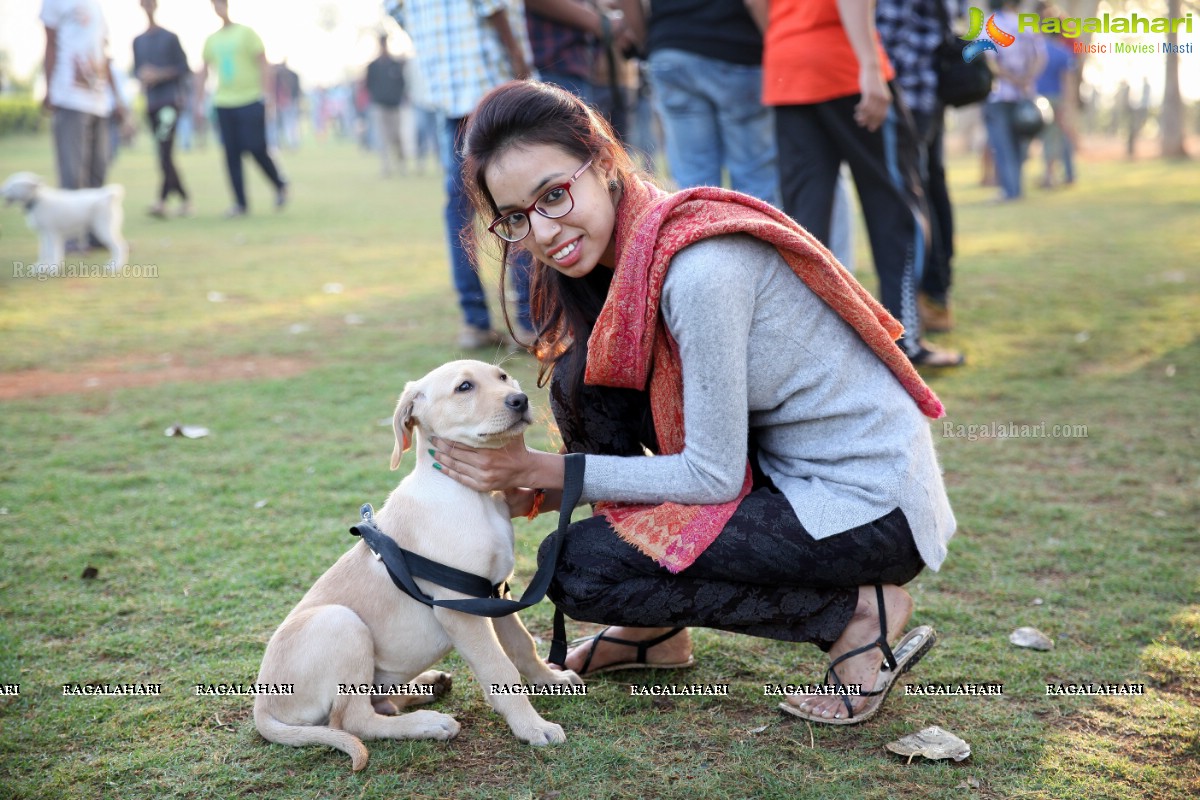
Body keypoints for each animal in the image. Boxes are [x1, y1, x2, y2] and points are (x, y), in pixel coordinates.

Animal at [255, 362, 583, 767]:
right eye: (464, 387)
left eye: (503, 377)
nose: (519, 400)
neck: (469, 496)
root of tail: (262, 706)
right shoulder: (461, 608)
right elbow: (499, 669)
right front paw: (532, 727)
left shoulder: (497, 592)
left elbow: (522, 646)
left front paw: (551, 680)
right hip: (340, 623)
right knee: (353, 719)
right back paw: (429, 723)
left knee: (375, 704)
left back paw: (427, 687)